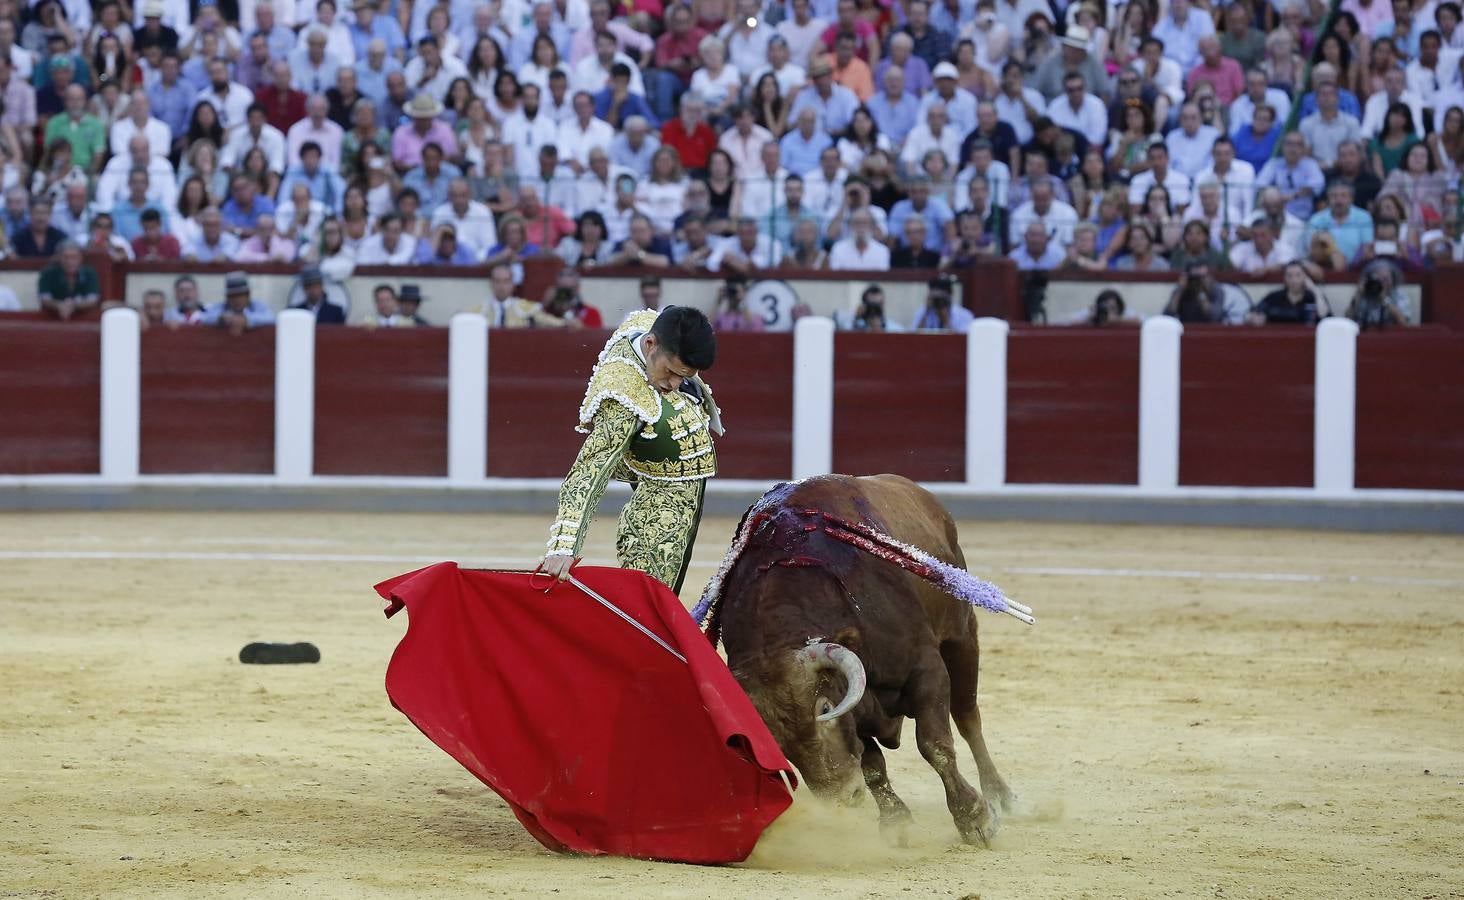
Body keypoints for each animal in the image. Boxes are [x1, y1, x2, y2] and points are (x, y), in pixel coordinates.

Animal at [702, 474, 1024, 848]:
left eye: (826, 709)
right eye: (773, 739)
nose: (842, 797)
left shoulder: (927, 670)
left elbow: (935, 745)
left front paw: (974, 818)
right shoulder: (858, 707)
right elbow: (872, 764)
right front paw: (897, 823)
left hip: (962, 635)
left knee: (968, 718)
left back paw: (1002, 797)